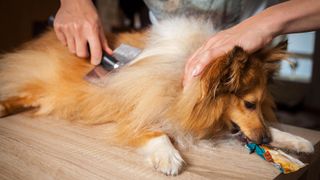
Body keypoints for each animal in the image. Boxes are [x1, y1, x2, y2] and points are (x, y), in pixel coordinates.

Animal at [0, 16, 314, 174]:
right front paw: (168, 158)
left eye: (259, 104)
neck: (182, 83)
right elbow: (156, 131)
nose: (264, 141)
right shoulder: (138, 109)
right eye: (248, 103)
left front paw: (297, 143)